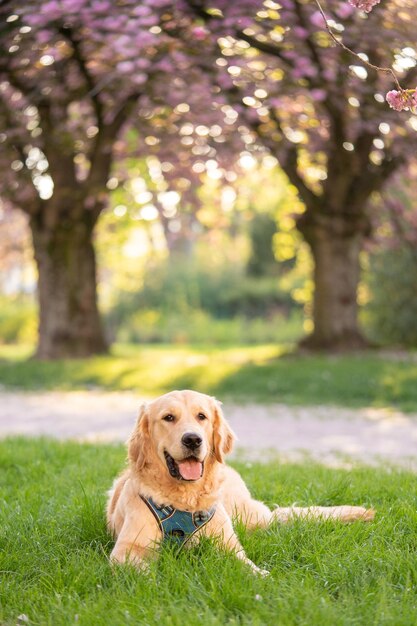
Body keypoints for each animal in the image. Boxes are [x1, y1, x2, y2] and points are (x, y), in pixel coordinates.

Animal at [107, 390, 374, 576]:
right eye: (168, 418)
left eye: (201, 416)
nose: (192, 439)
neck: (186, 499)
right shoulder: (127, 549)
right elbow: (143, 571)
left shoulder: (227, 545)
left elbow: (245, 564)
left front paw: (261, 576)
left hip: (248, 516)